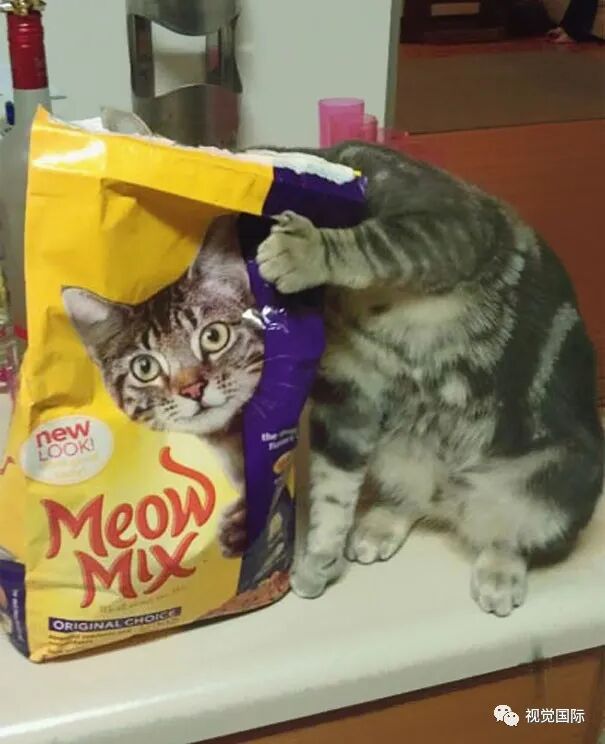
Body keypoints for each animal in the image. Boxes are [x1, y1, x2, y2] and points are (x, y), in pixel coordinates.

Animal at [248, 140, 603, 617]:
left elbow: (372, 244)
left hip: (562, 477)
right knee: (416, 499)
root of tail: (456, 501)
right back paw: (379, 526)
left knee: (510, 534)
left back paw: (499, 573)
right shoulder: (348, 393)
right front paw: (321, 555)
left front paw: (304, 251)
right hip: (397, 452)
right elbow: (333, 486)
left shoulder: (444, 224)